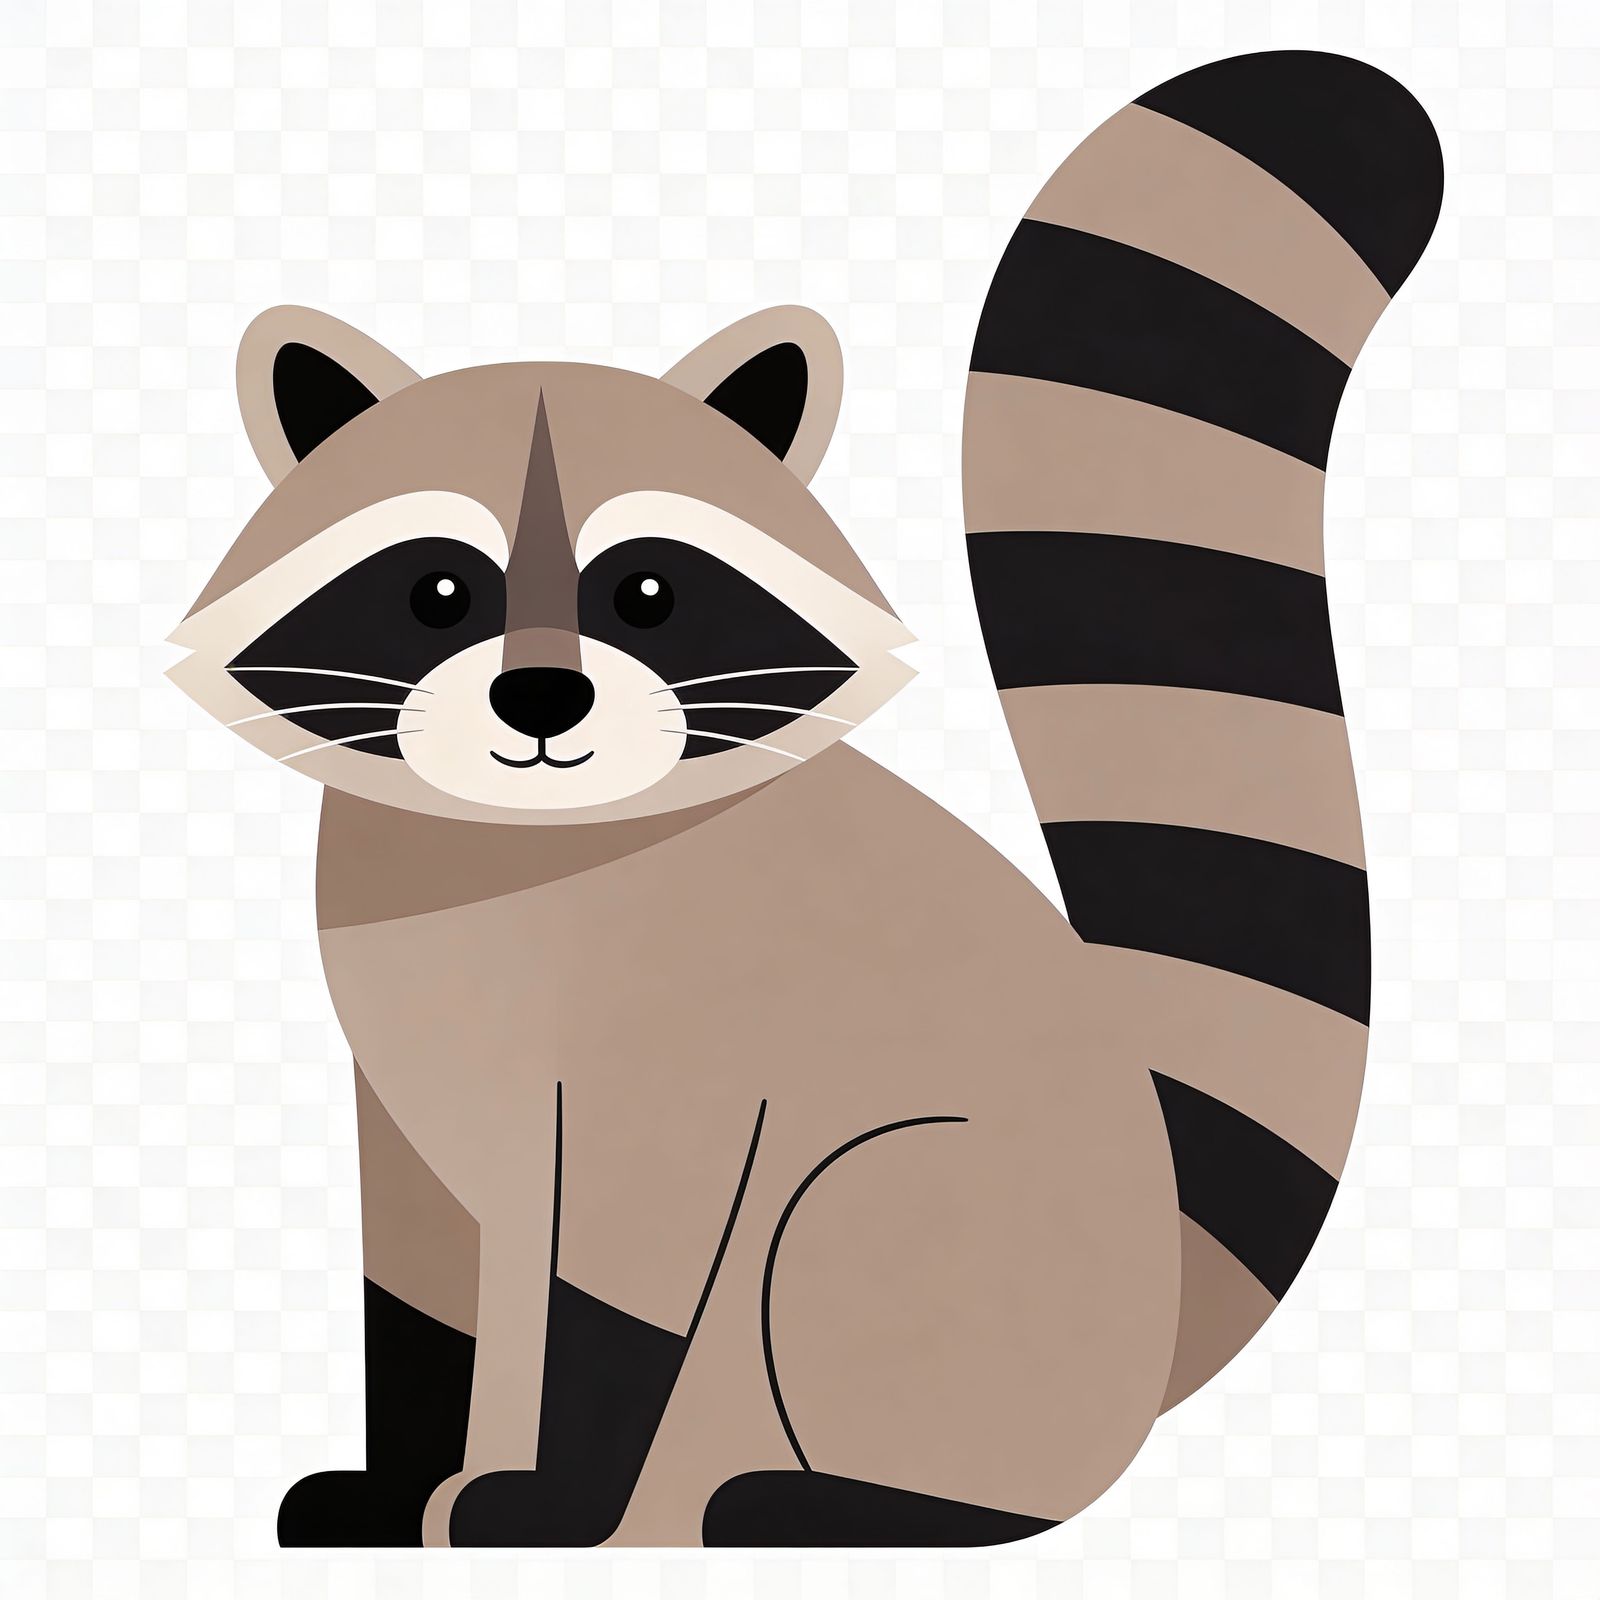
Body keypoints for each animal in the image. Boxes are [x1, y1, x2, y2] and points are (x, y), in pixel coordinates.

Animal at [171, 51, 1442, 1548]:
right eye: (436, 591)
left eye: (647, 592)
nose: (541, 701)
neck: (513, 854)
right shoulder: (406, 1099)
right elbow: (419, 1292)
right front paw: (398, 1477)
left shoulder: (675, 1069)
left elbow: (617, 1285)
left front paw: (553, 1494)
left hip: (932, 1219)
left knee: (876, 1279)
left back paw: (839, 1503)